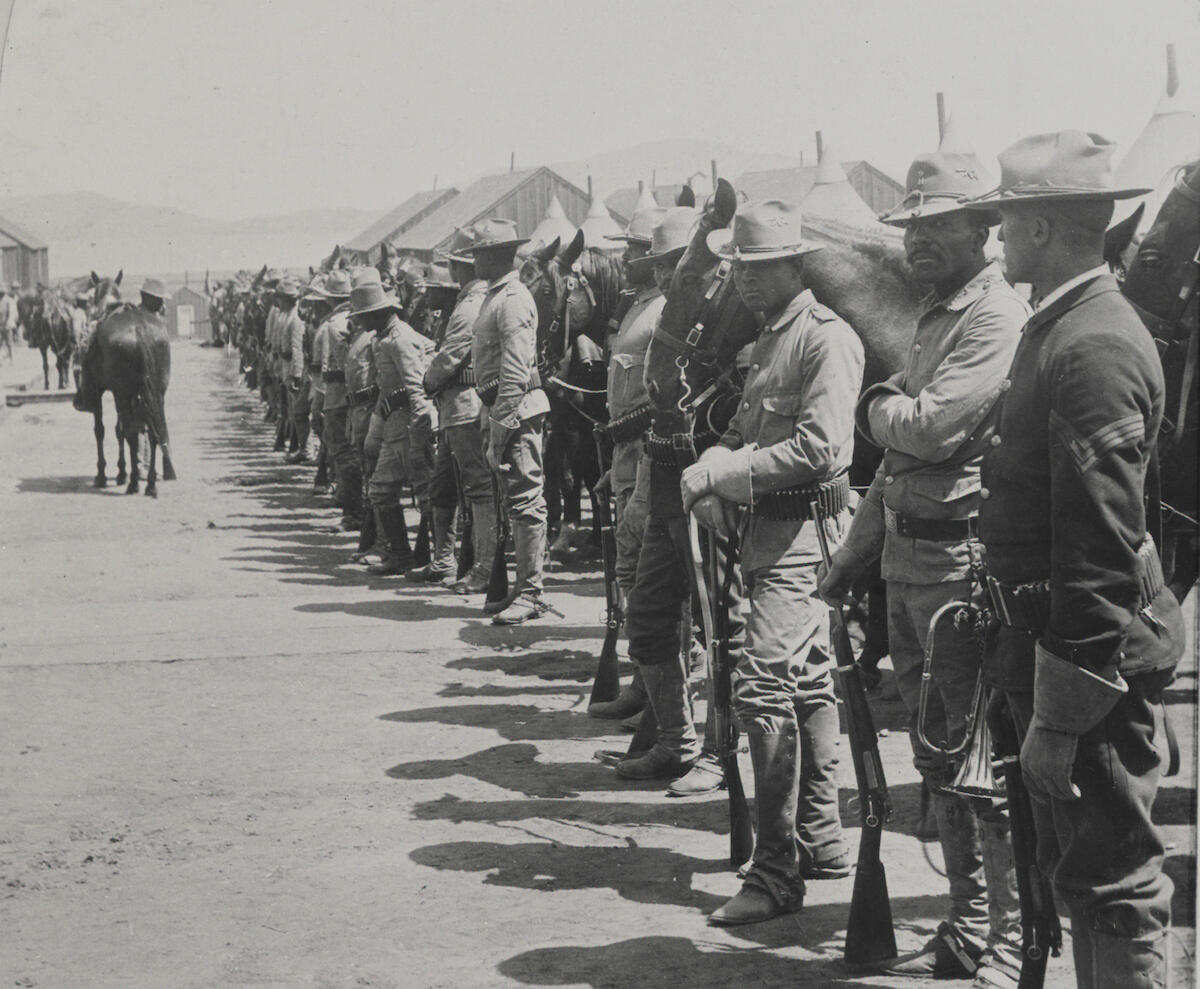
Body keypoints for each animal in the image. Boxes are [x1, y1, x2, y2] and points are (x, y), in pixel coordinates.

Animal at [73, 303, 175, 494]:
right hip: (156, 395)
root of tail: (139, 330)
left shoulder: (101, 393)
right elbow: (120, 430)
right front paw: (121, 472)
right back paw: (150, 484)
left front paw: (102, 475)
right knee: (152, 432)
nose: (79, 401)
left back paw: (134, 483)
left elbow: (101, 430)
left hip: (122, 394)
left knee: (132, 433)